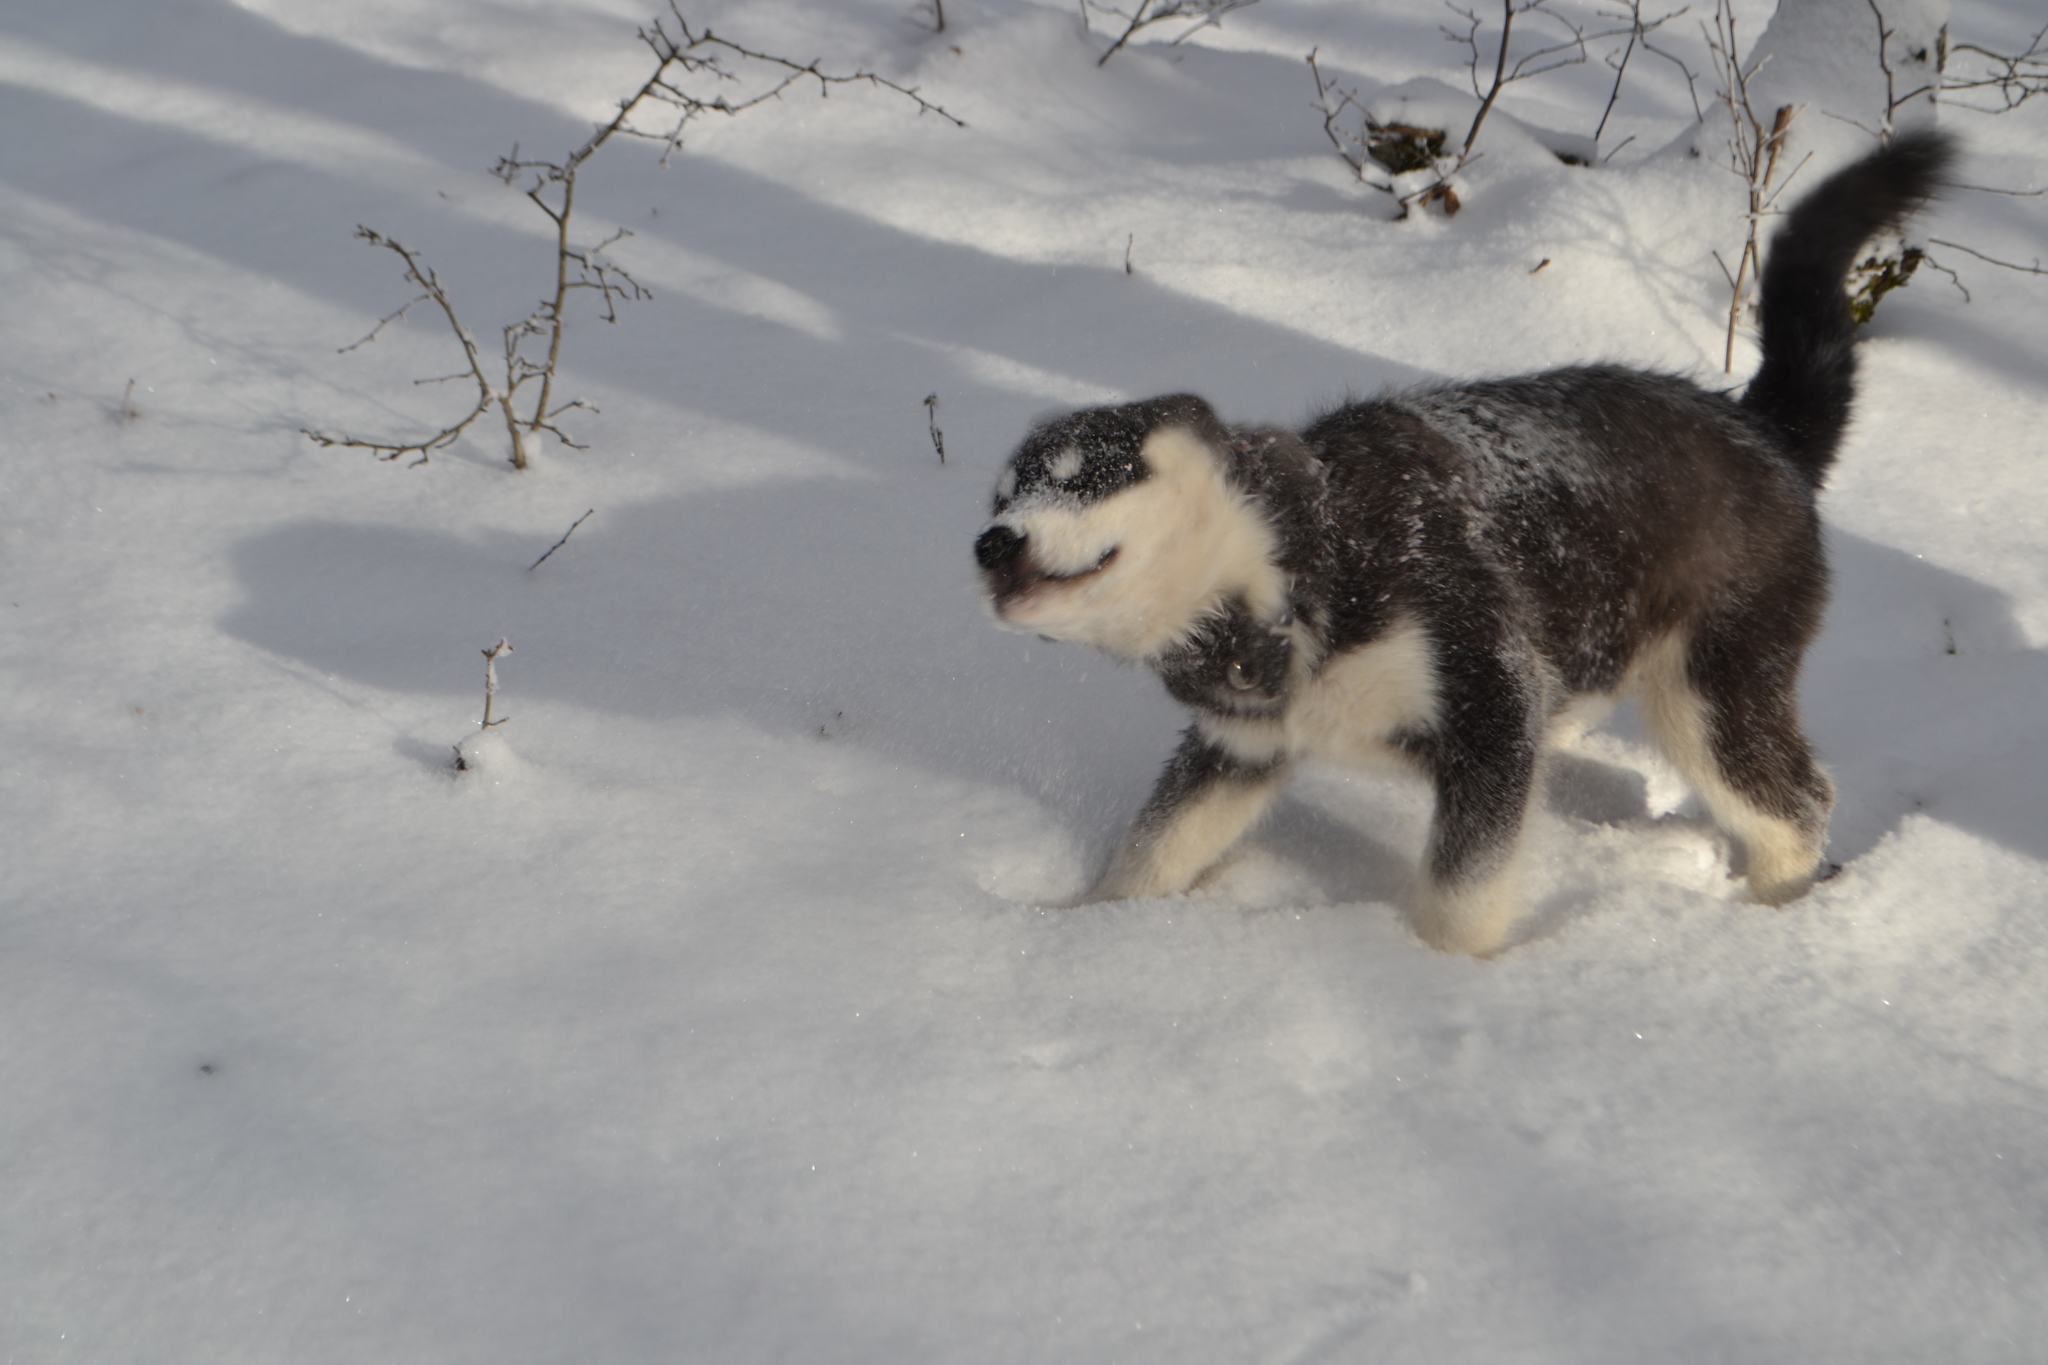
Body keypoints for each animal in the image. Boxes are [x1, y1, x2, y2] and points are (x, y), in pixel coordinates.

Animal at [974, 133, 1949, 957]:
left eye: (1086, 474)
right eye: (1001, 491)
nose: (990, 542)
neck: (1307, 556)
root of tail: (1764, 430)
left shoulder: (1492, 710)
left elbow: (1459, 892)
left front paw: (1440, 977)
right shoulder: (1238, 747)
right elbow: (1150, 851)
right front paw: (1085, 928)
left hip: (1711, 692)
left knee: (1799, 803)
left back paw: (1778, 914)